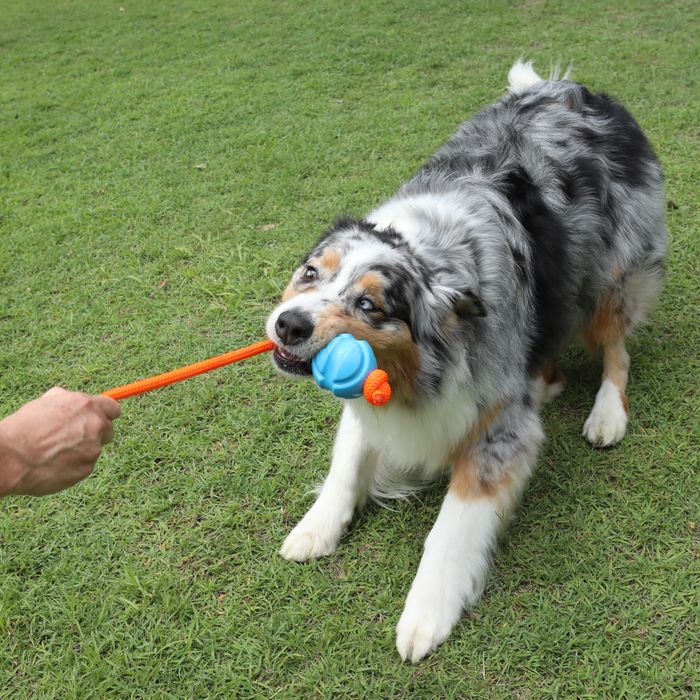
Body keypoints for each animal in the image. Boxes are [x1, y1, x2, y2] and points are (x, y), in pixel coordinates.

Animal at [264, 61, 668, 660]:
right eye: (311, 273)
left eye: (369, 305)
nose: (289, 324)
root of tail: (570, 89)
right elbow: (348, 460)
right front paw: (316, 528)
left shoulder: (496, 428)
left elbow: (452, 527)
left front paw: (426, 614)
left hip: (612, 273)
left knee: (616, 347)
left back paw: (606, 414)